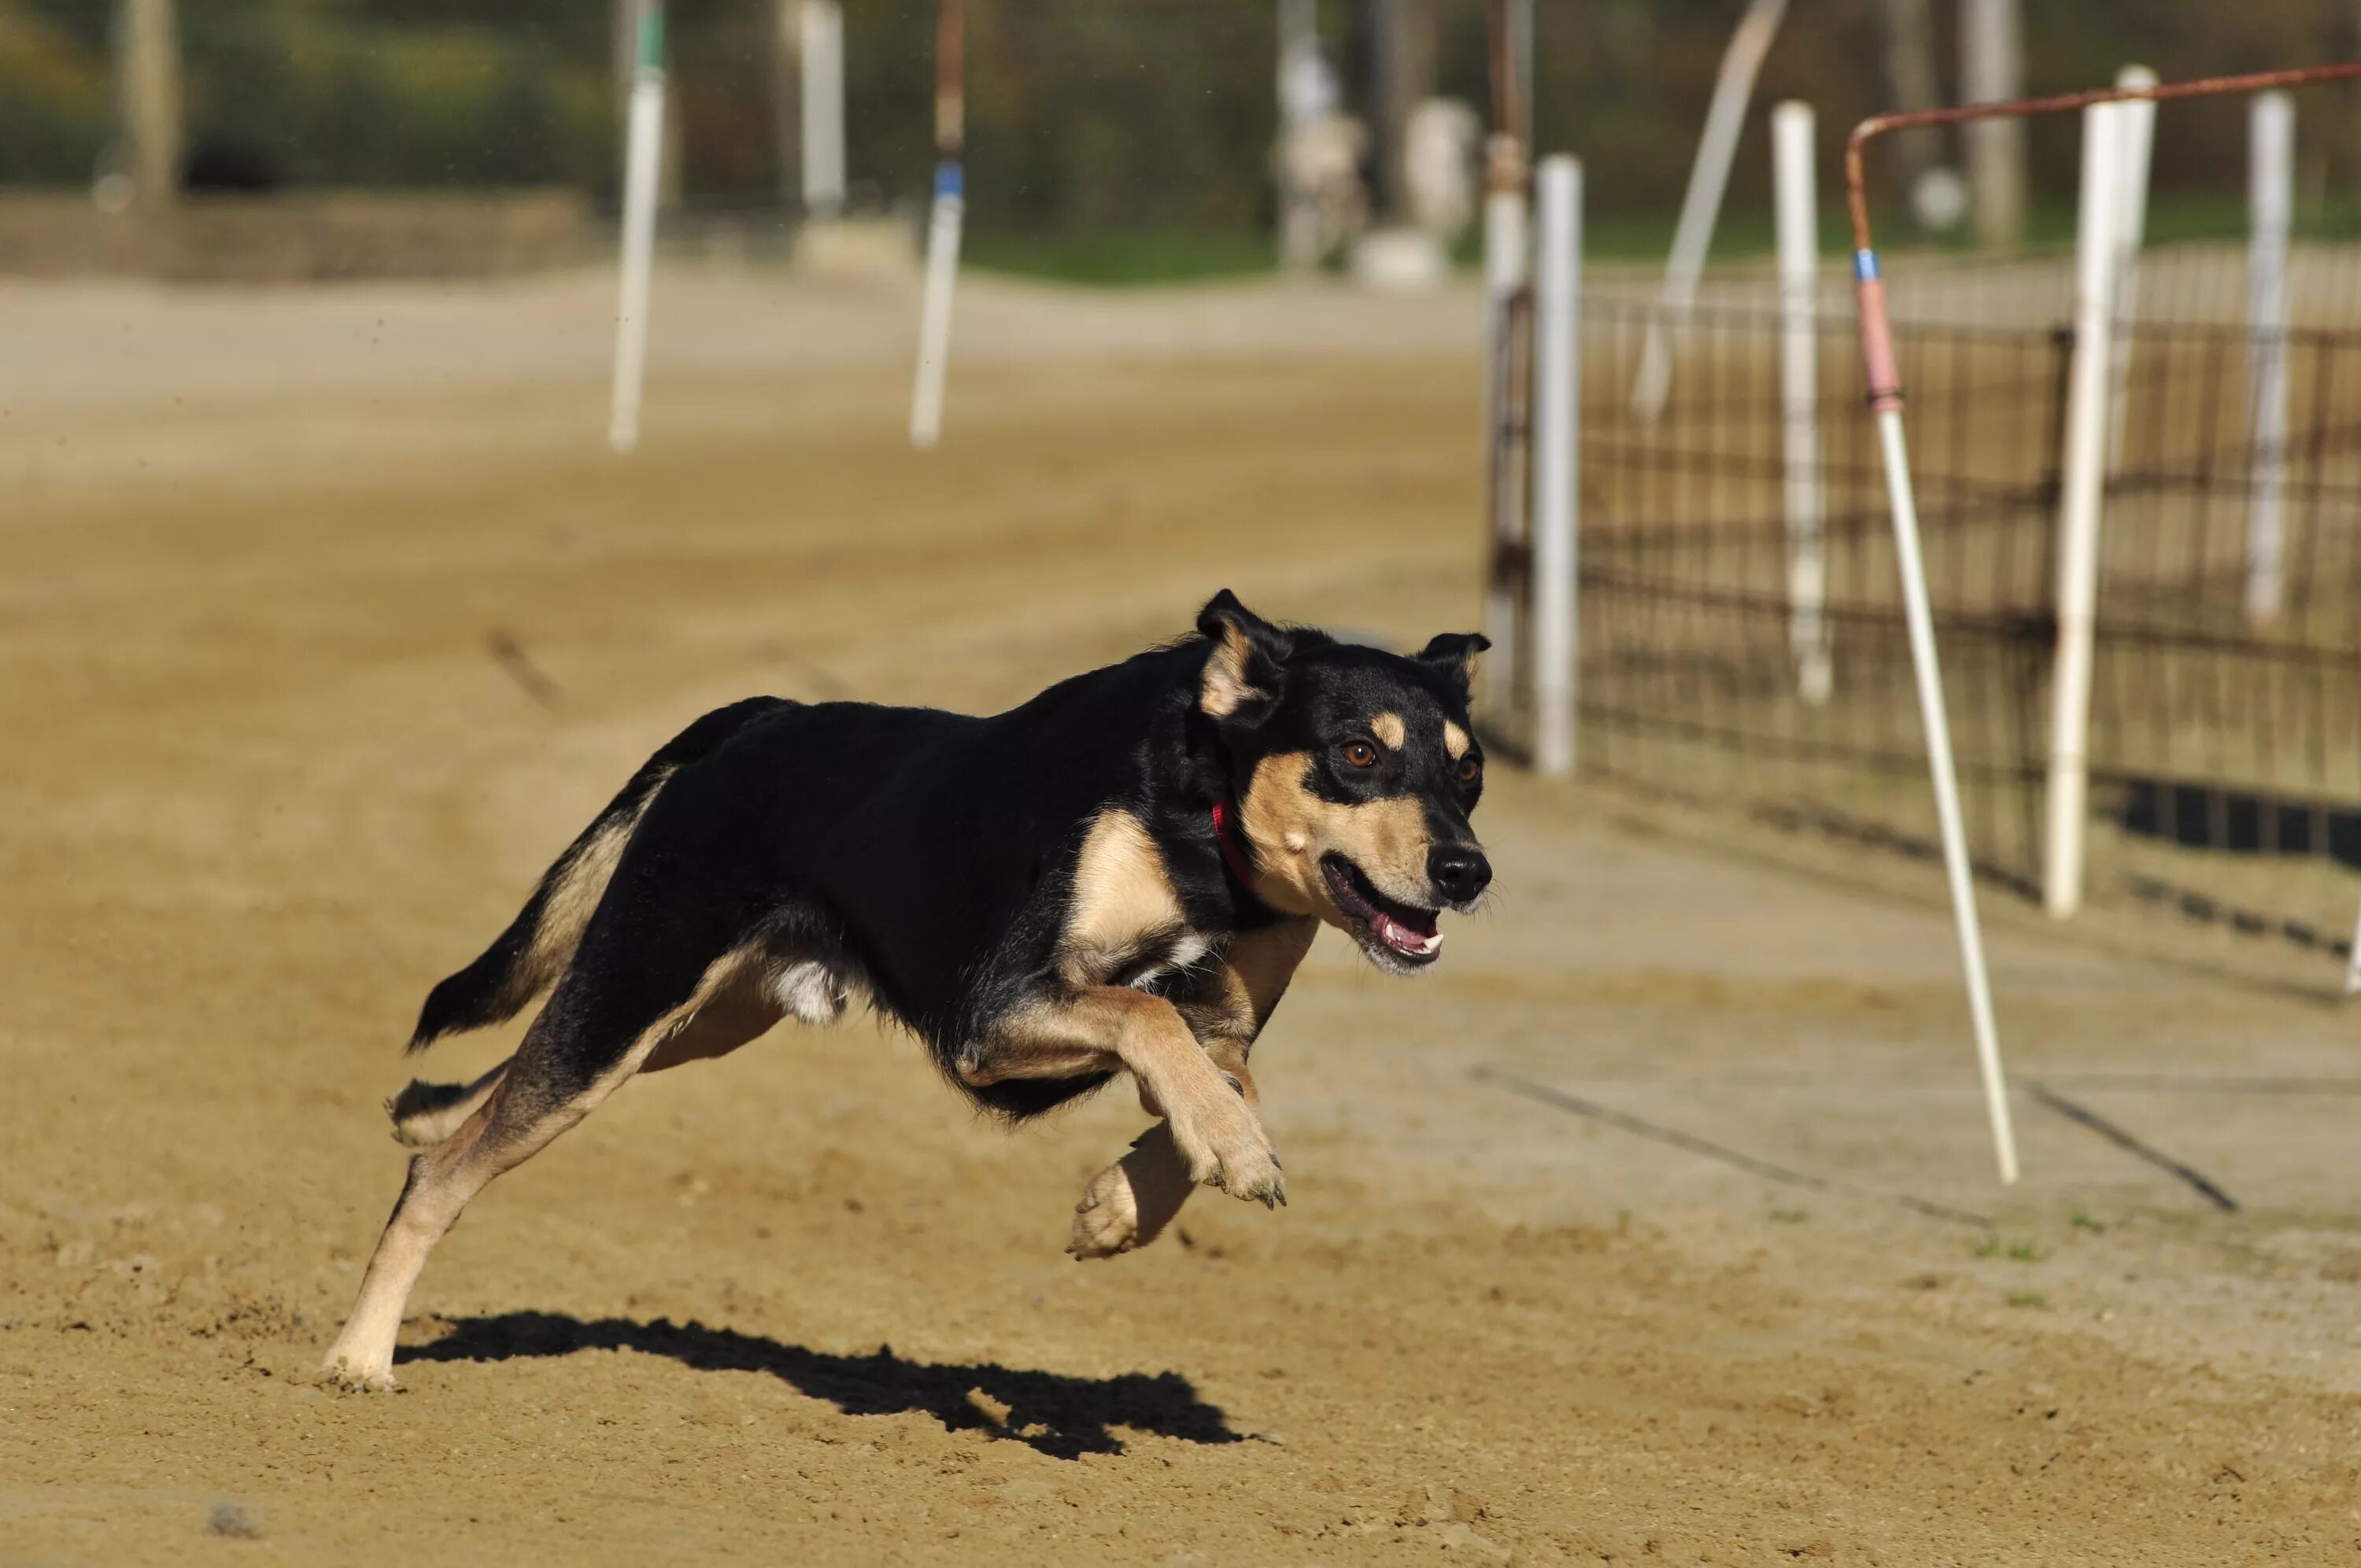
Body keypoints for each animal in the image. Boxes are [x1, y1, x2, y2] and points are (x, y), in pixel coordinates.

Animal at [319, 595, 1492, 1388]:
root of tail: (762, 716)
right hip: (637, 987)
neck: (1202, 827)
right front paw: (1231, 1159)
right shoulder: (993, 1012)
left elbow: (1215, 1078)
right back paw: (360, 1356)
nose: (1467, 872)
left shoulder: (1224, 1025)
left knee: (480, 1104)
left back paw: (421, 1113)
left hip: (695, 1018)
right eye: (1356, 753)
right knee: (446, 1175)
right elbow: (1149, 1016)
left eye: (1471, 770)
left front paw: (1124, 1205)